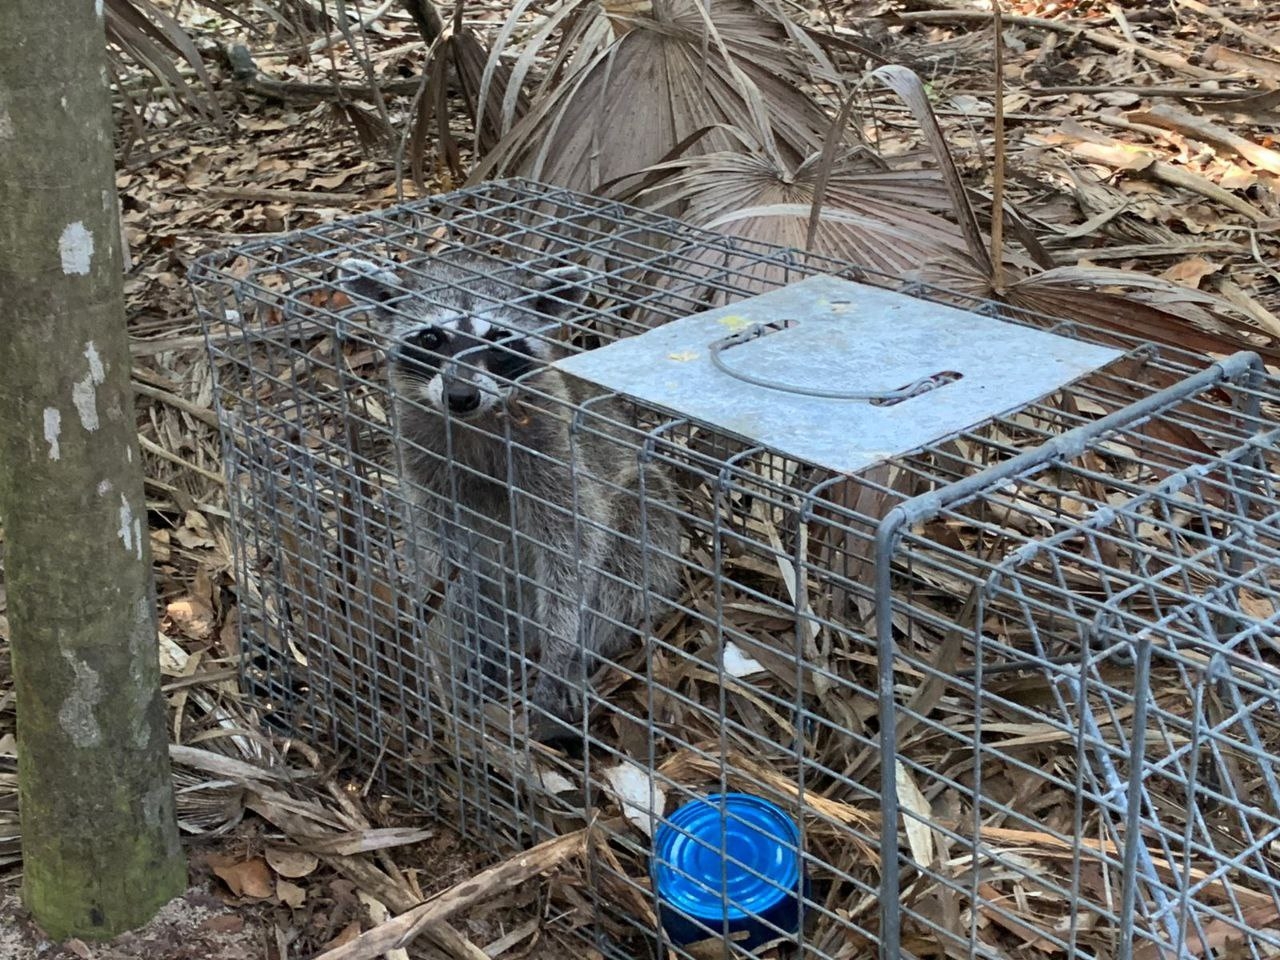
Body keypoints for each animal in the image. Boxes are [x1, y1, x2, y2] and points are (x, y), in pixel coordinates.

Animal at [337, 252, 680, 732]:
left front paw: (561, 649)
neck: (476, 421)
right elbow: (443, 555)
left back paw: (573, 660)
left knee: (628, 565)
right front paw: (467, 634)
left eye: (498, 338)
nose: (461, 395)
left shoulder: (554, 451)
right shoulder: (421, 460)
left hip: (648, 510)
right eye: (432, 337)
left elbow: (573, 545)